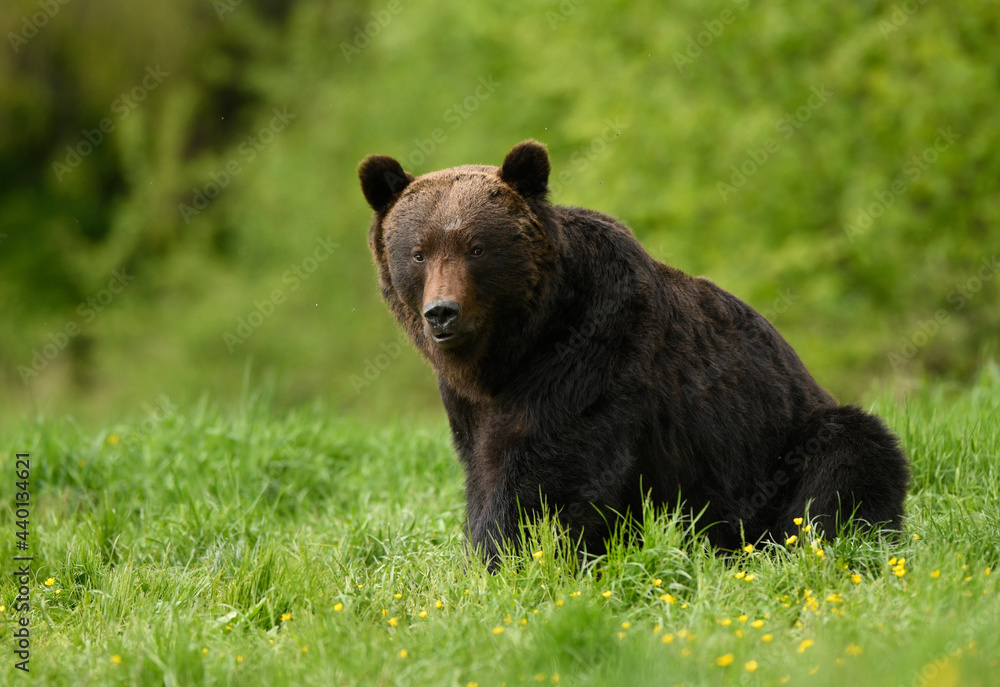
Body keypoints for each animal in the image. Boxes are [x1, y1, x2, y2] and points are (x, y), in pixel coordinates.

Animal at [358, 140, 910, 568]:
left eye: (476, 247)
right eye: (418, 252)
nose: (442, 313)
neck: (516, 349)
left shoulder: (589, 359)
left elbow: (547, 475)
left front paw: (509, 558)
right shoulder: (468, 404)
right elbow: (484, 469)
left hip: (783, 443)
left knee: (850, 459)